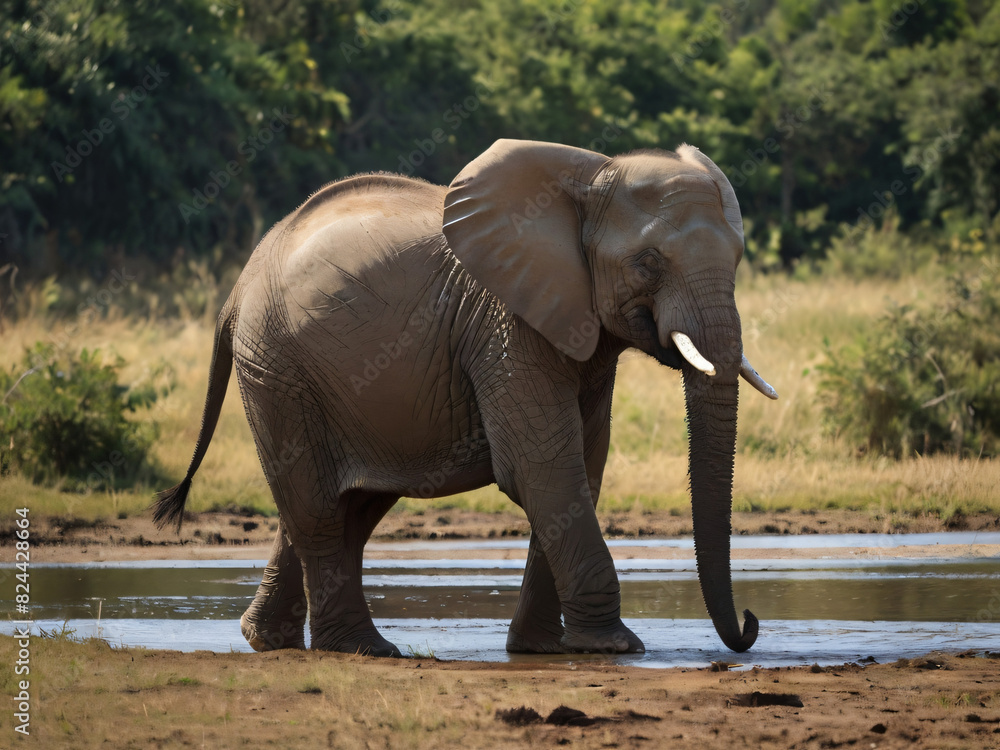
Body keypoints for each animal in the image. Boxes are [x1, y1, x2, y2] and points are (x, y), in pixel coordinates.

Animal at [155, 138, 777, 657]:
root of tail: (239, 286)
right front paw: (615, 647)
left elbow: (581, 466)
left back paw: (270, 641)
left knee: (342, 506)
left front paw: (541, 651)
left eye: (739, 259)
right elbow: (542, 466)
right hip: (277, 368)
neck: (590, 175)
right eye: (648, 263)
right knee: (318, 508)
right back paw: (362, 649)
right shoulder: (508, 322)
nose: (750, 625)